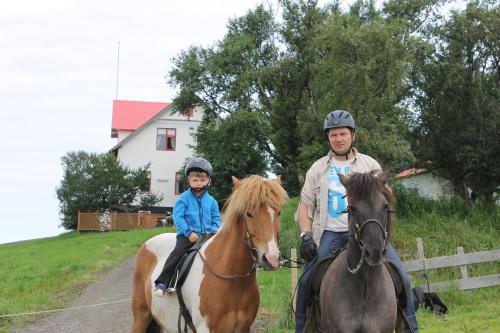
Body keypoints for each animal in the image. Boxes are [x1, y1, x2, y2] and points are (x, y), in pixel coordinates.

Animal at [132, 175, 290, 330]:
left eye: (278, 212)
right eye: (249, 213)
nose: (272, 258)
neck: (232, 278)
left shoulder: (244, 328)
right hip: (140, 317)